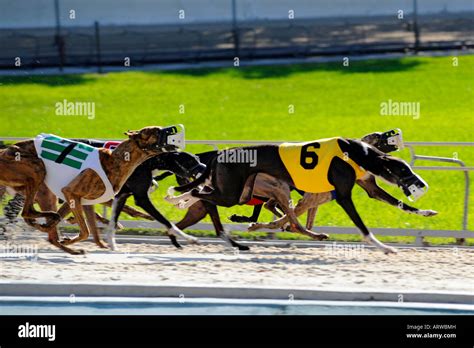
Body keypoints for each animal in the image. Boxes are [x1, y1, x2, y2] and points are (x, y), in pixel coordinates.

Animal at [167, 136, 434, 253]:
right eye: (404, 170)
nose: (422, 184)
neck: (360, 153)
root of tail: (220, 154)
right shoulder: (343, 195)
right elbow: (362, 226)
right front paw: (383, 246)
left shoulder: (370, 187)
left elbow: (399, 203)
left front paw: (426, 211)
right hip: (232, 193)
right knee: (198, 191)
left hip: (238, 191)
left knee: (200, 192)